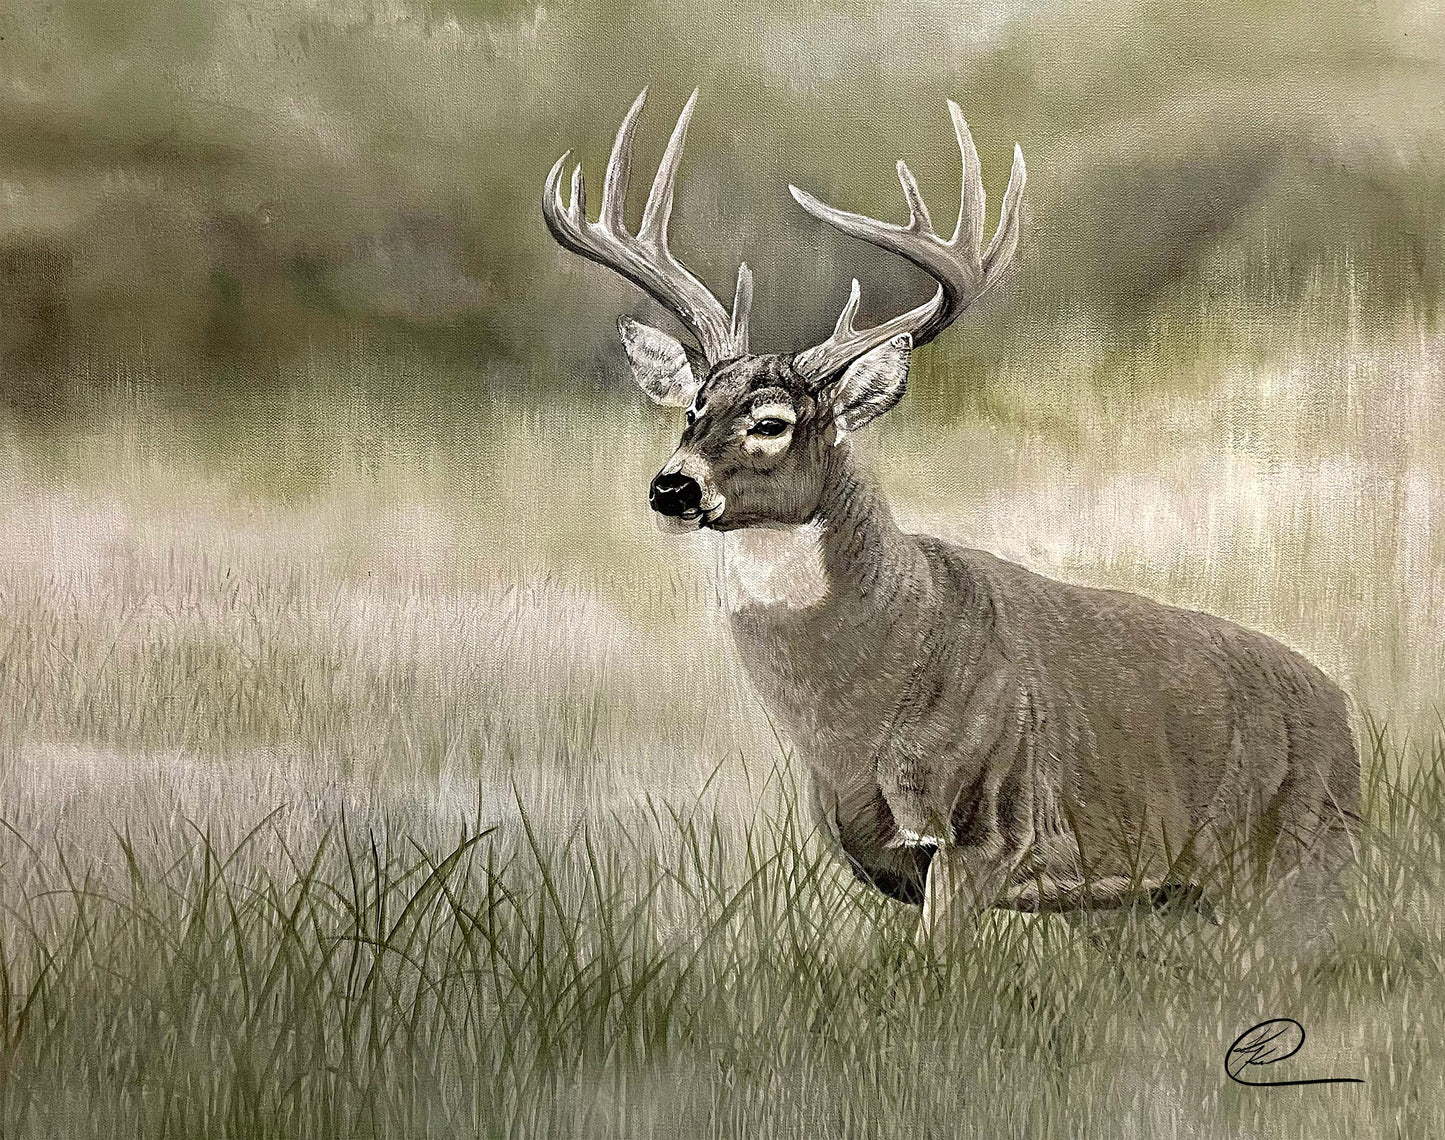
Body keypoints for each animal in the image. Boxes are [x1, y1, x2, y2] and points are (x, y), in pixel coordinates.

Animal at [542, 90, 1361, 942]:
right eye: (691, 411)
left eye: (770, 422)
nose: (672, 488)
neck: (855, 714)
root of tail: (1344, 715)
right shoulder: (884, 859)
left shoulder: (986, 827)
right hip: (1169, 896)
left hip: (1304, 858)